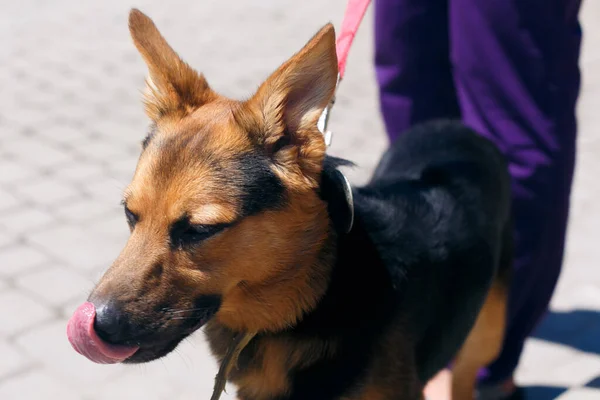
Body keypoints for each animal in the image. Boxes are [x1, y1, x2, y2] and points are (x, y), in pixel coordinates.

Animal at [68, 9, 512, 400]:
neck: (312, 296)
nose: (97, 326)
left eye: (200, 230)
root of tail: (454, 126)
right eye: (130, 215)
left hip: (487, 333)